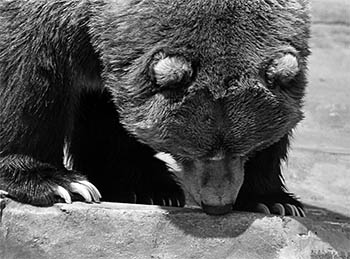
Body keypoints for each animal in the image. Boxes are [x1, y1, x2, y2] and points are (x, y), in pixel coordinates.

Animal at [0, 0, 310, 216]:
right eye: (189, 151)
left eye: (248, 149)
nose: (218, 204)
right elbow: (29, 72)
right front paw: (59, 183)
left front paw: (273, 201)